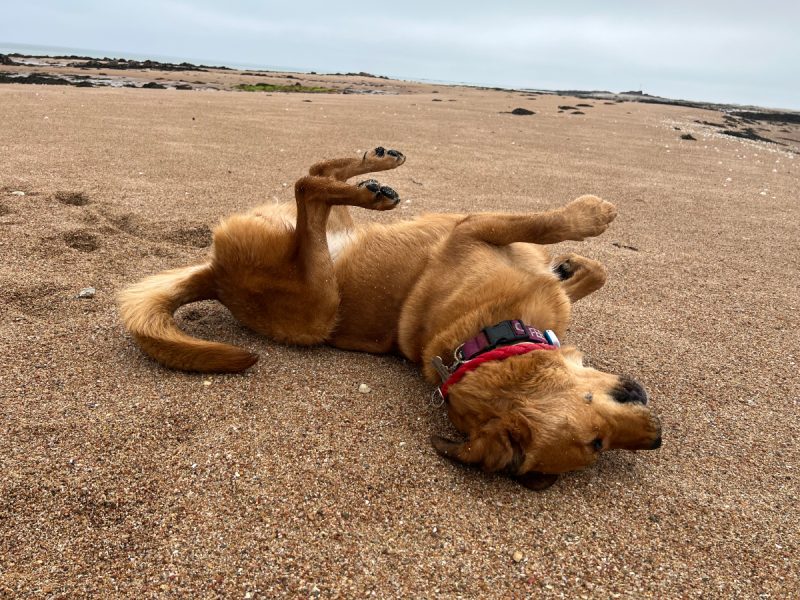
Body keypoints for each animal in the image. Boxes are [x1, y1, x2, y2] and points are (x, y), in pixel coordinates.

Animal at [119, 148, 664, 490]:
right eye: (597, 443)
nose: (658, 438)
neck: (485, 339)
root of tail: (215, 277)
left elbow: (588, 274)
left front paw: (574, 266)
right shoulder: (475, 228)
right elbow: (550, 224)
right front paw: (591, 216)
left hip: (324, 245)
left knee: (315, 176)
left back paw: (376, 166)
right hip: (319, 306)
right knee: (307, 187)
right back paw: (373, 187)